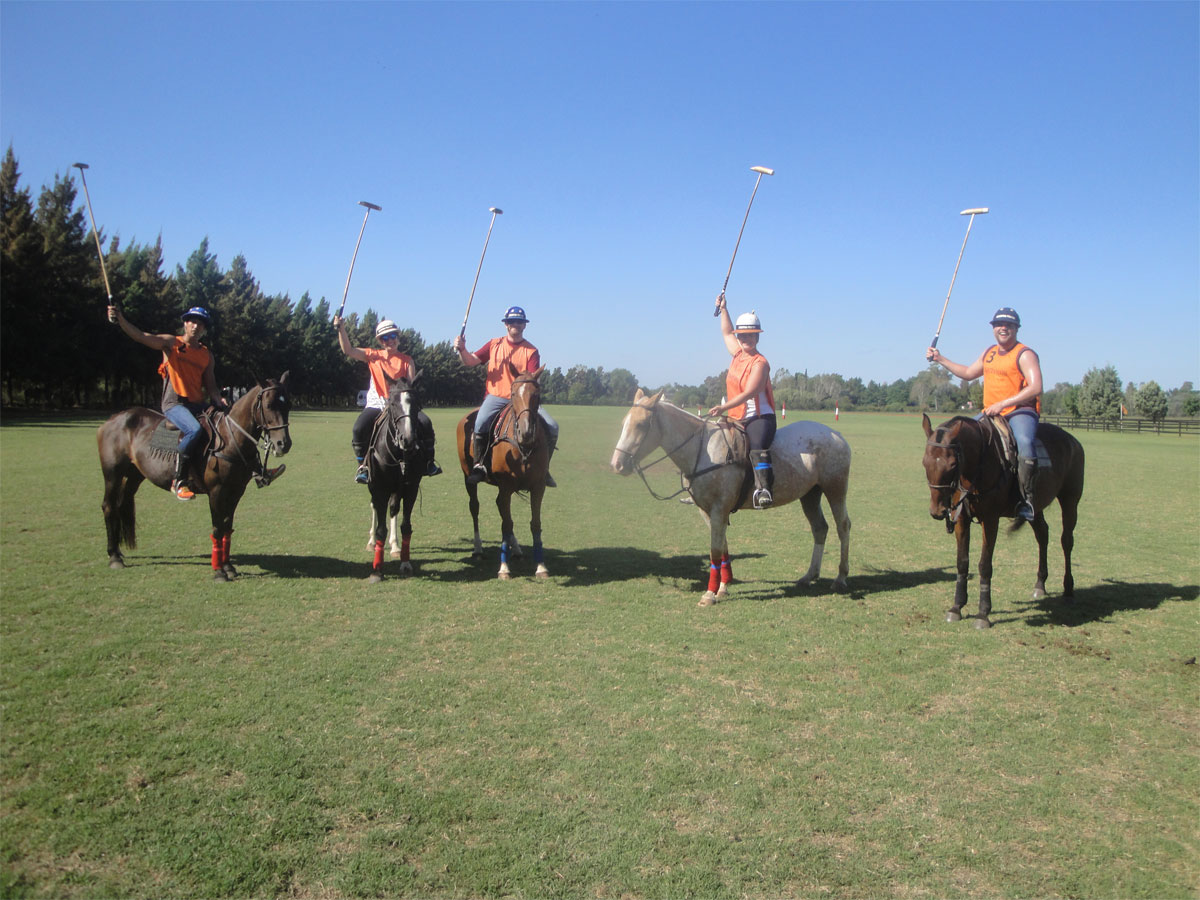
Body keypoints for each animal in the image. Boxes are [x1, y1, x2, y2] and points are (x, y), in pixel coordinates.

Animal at [97, 374, 292, 580]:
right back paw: (114, 556)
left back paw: (118, 551)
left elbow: (227, 526)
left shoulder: (236, 491)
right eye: (269, 405)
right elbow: (217, 528)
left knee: (120, 504)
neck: (230, 438)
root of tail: (110, 421)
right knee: (108, 507)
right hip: (112, 474)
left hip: (134, 475)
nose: (284, 444)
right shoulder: (216, 491)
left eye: (288, 404)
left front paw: (228, 566)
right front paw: (219, 571)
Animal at [364, 374, 432, 580]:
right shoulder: (379, 488)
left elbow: (406, 525)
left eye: (416, 403)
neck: (399, 454)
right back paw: (371, 542)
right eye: (392, 403)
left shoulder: (410, 488)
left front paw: (405, 563)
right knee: (375, 507)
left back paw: (394, 546)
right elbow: (381, 529)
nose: (407, 439)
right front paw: (377, 569)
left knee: (393, 508)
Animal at [453, 367, 552, 585]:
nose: (526, 433)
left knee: (500, 507)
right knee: (475, 507)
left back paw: (516, 548)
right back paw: (478, 548)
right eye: (513, 394)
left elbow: (535, 524)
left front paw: (541, 566)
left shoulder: (538, 486)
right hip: (467, 476)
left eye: (537, 394)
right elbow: (506, 524)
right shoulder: (506, 486)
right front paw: (504, 569)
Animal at [609, 388, 854, 607]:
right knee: (820, 528)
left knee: (843, 526)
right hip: (810, 494)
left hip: (835, 487)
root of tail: (838, 435)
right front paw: (723, 587)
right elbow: (723, 548)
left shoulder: (719, 508)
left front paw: (709, 594)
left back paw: (840, 578)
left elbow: (715, 551)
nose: (617, 465)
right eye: (623, 423)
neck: (702, 451)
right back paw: (809, 575)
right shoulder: (708, 511)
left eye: (641, 425)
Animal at [916, 415, 1089, 628]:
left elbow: (984, 565)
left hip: (1070, 498)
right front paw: (956, 607)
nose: (937, 511)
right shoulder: (962, 519)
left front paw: (983, 614)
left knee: (1067, 541)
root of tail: (1073, 440)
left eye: (952, 464)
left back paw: (1068, 590)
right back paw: (1040, 585)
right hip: (1035, 507)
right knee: (1042, 534)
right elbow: (962, 562)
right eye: (925, 462)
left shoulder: (991, 519)